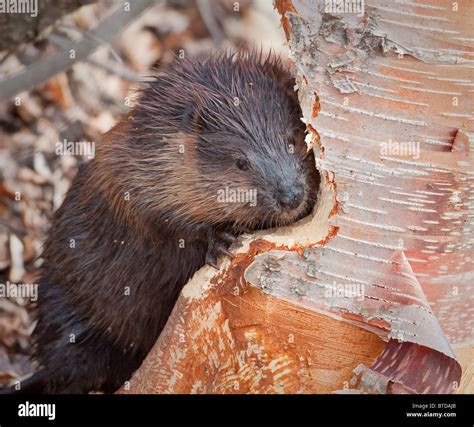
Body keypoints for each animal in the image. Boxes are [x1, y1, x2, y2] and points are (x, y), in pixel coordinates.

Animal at [14, 50, 320, 394]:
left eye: (291, 140)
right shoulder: (131, 168)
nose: (291, 196)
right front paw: (220, 242)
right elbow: (155, 216)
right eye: (241, 162)